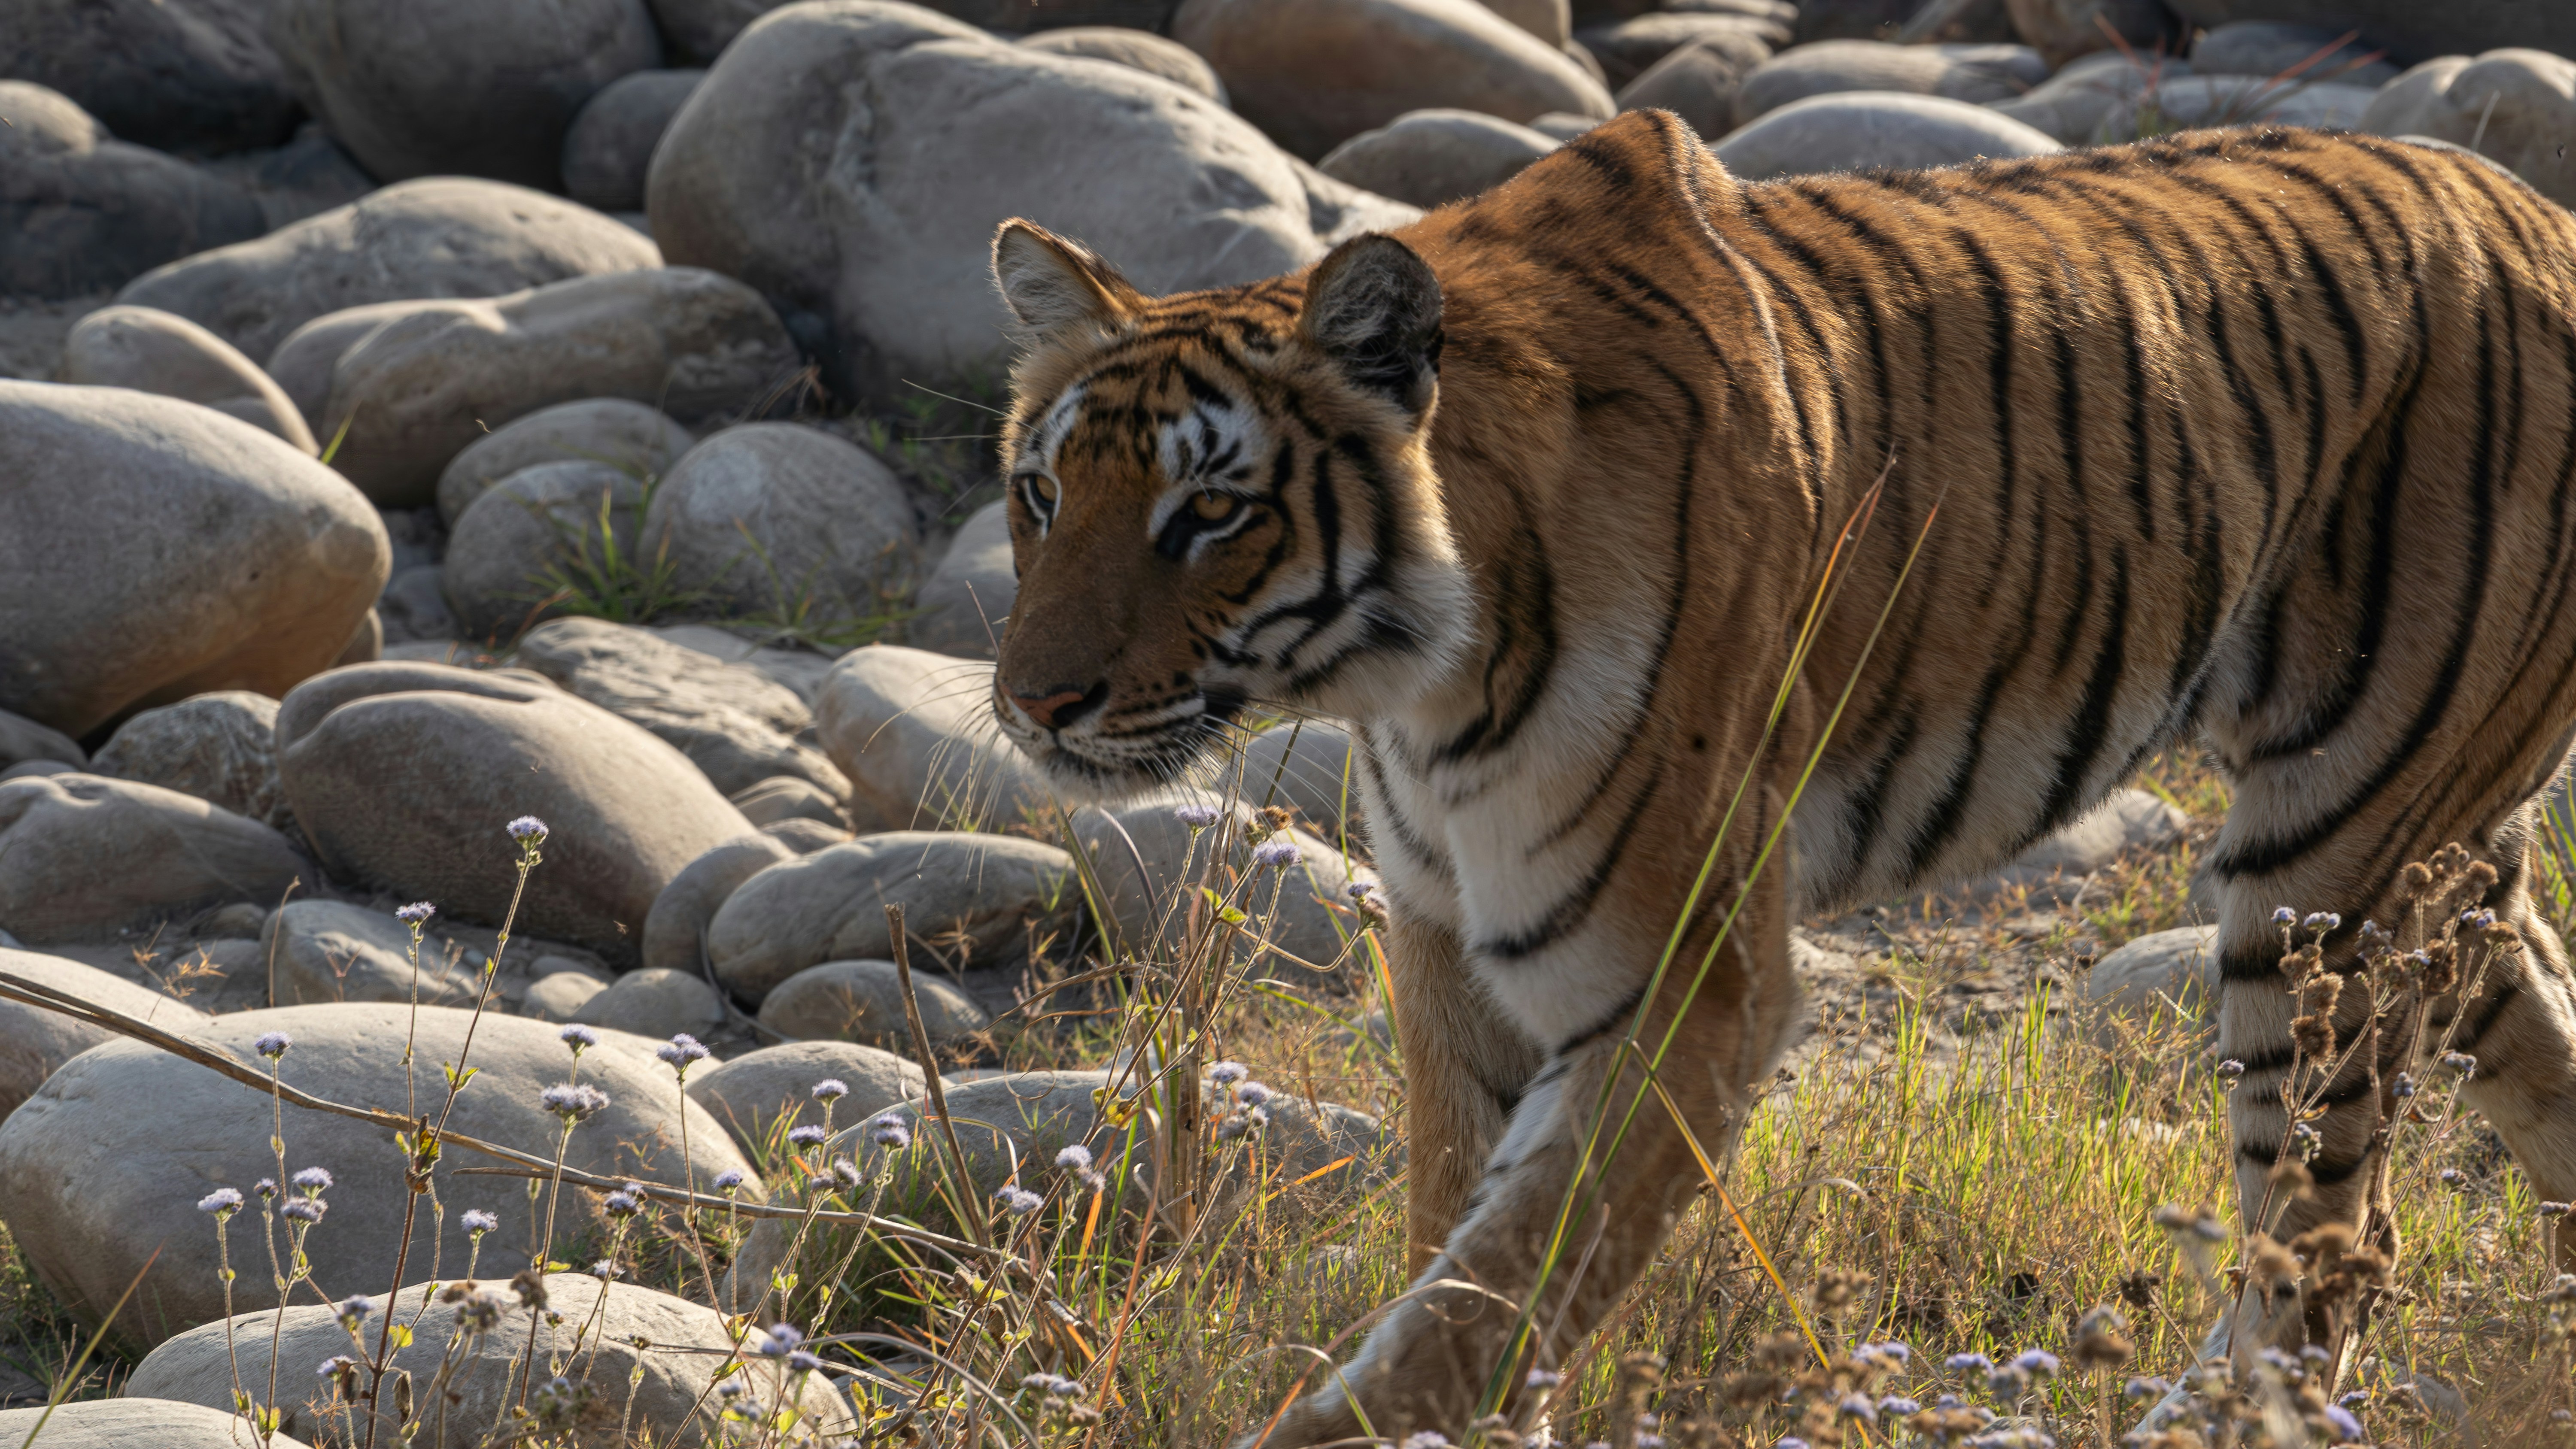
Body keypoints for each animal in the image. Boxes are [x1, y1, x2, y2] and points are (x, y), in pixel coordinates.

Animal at [981, 108, 2576, 1444]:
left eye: (1210, 512)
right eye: (1042, 492)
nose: (1029, 703)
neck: (1413, 684)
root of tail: (2535, 210)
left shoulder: (1681, 979)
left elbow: (1494, 1289)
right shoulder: (1447, 941)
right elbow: (1460, 1240)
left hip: (2325, 870)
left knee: (2333, 1243)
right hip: (2429, 845)